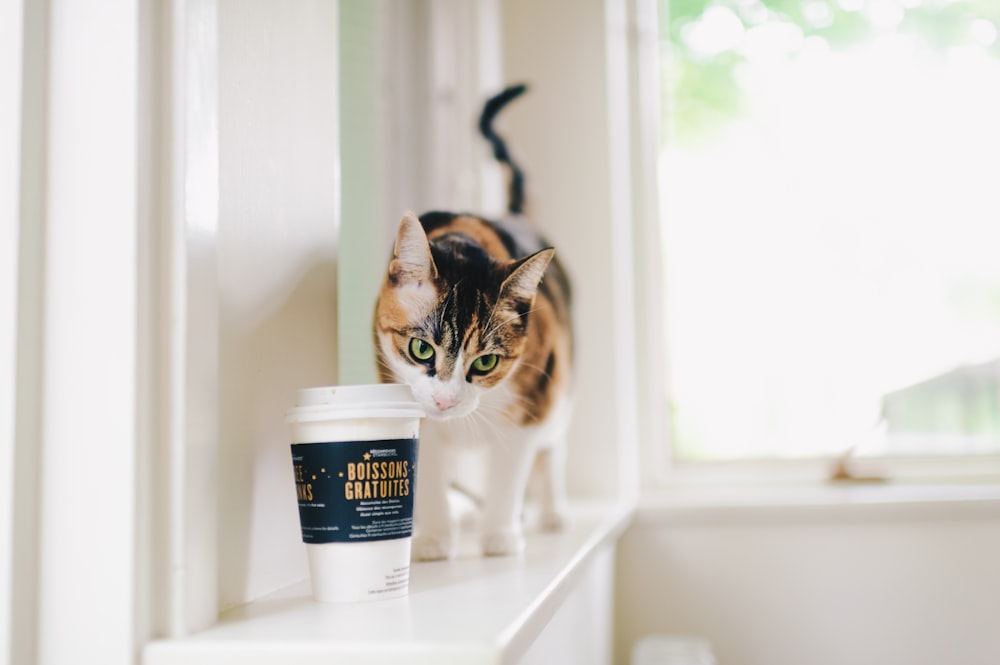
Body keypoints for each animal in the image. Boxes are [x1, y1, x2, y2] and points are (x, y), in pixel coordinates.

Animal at [376, 84, 576, 560]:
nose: (446, 402)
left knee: (552, 450)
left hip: (561, 389)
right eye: (421, 349)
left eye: (486, 362)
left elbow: (509, 471)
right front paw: (432, 536)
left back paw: (550, 511)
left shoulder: (532, 402)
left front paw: (500, 535)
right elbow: (428, 470)